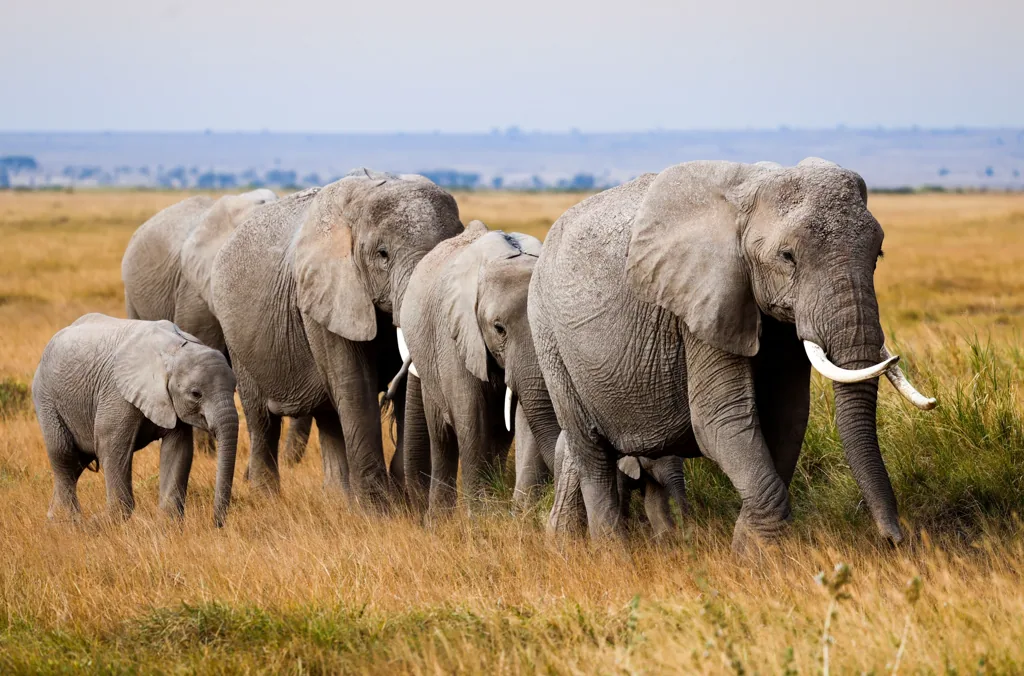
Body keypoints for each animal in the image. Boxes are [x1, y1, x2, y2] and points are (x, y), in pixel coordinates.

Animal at [32, 314, 238, 526]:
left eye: (235, 388)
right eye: (196, 394)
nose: (216, 524)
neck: (174, 350)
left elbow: (178, 449)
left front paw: (168, 525)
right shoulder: (117, 393)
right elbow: (111, 446)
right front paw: (101, 522)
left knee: (77, 463)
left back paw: (55, 519)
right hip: (46, 397)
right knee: (63, 454)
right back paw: (69, 522)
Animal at [211, 169, 464, 507]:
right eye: (382, 255)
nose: (409, 493)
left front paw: (400, 502)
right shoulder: (324, 296)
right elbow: (355, 385)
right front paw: (379, 509)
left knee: (328, 416)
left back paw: (337, 499)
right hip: (237, 338)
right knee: (262, 419)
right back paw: (268, 499)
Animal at [529, 159, 936, 552]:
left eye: (878, 254)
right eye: (787, 257)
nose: (894, 540)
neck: (752, 191)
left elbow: (787, 417)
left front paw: (751, 550)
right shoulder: (701, 303)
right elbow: (720, 418)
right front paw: (750, 557)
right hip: (547, 333)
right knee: (591, 451)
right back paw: (611, 555)